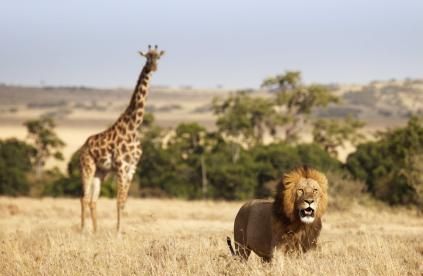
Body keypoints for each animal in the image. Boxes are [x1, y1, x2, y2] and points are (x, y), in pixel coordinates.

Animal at [78, 45, 165, 233]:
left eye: (158, 58)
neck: (133, 126)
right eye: (147, 57)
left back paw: (96, 232)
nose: (153, 67)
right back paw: (83, 231)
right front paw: (118, 233)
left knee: (93, 200)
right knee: (84, 198)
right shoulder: (121, 166)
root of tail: (83, 147)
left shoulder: (132, 168)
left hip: (101, 172)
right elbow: (118, 201)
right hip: (87, 166)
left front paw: (121, 231)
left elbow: (124, 202)